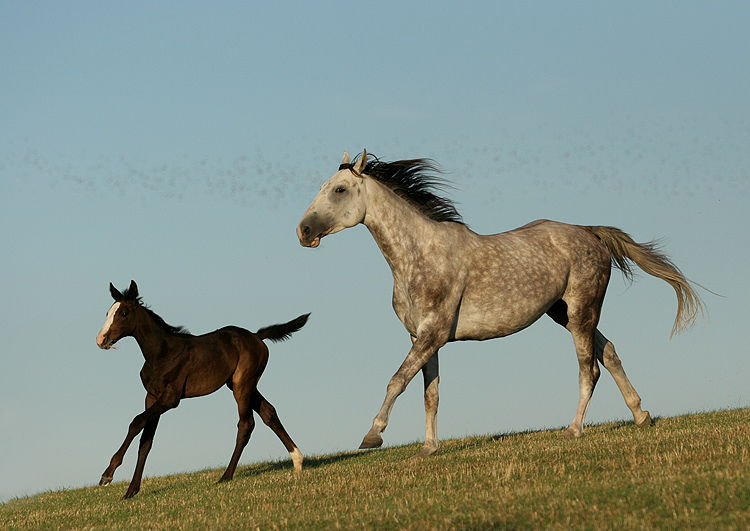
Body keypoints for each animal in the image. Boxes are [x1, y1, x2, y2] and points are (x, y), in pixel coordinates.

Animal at [97, 280, 308, 500]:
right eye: (107, 312)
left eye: (124, 313)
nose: (101, 340)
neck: (162, 353)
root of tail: (257, 336)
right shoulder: (152, 396)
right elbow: (146, 441)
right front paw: (131, 490)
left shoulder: (171, 398)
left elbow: (136, 422)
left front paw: (107, 475)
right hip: (243, 384)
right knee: (269, 413)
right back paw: (298, 461)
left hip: (243, 383)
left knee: (246, 424)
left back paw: (226, 476)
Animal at [298, 150, 704, 458]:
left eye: (338, 189)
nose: (303, 231)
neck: (419, 256)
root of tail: (590, 232)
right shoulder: (421, 338)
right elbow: (431, 393)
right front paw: (428, 449)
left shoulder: (433, 334)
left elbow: (397, 380)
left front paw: (373, 435)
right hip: (566, 314)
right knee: (610, 353)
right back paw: (641, 415)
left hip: (581, 312)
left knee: (589, 369)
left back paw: (574, 430)